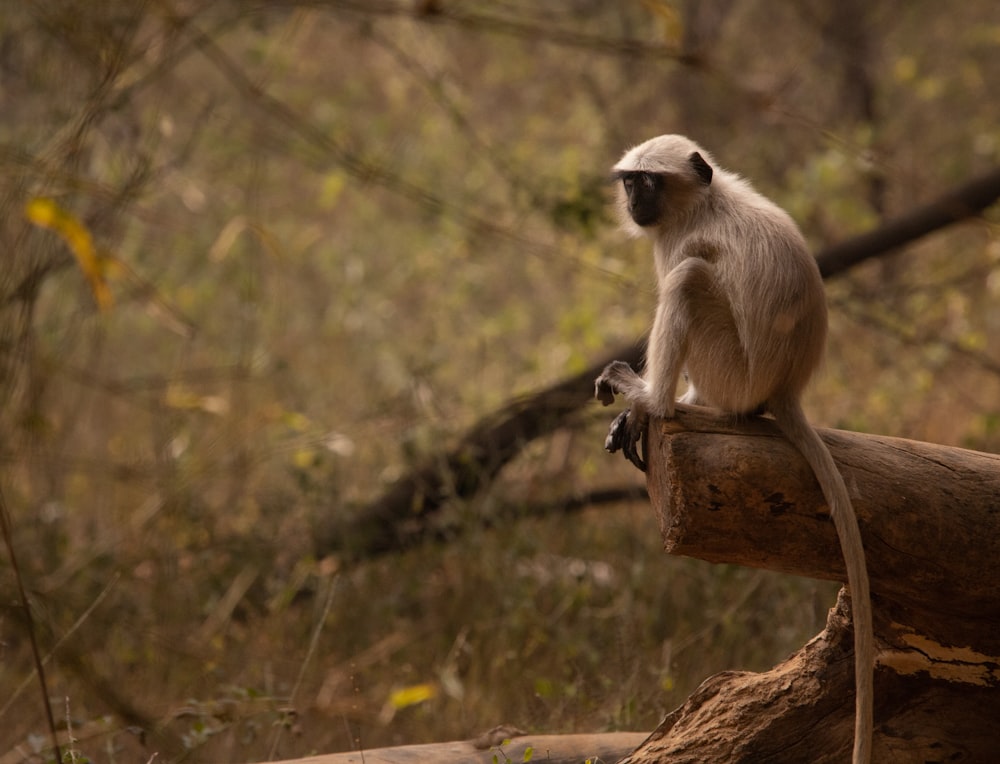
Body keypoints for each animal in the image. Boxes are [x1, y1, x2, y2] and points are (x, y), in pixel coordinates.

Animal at [596, 136, 872, 764]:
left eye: (648, 181)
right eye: (630, 181)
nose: (635, 201)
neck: (705, 200)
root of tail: (784, 388)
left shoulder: (677, 240)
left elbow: (685, 267)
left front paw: (646, 406)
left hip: (733, 375)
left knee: (689, 280)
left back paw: (655, 399)